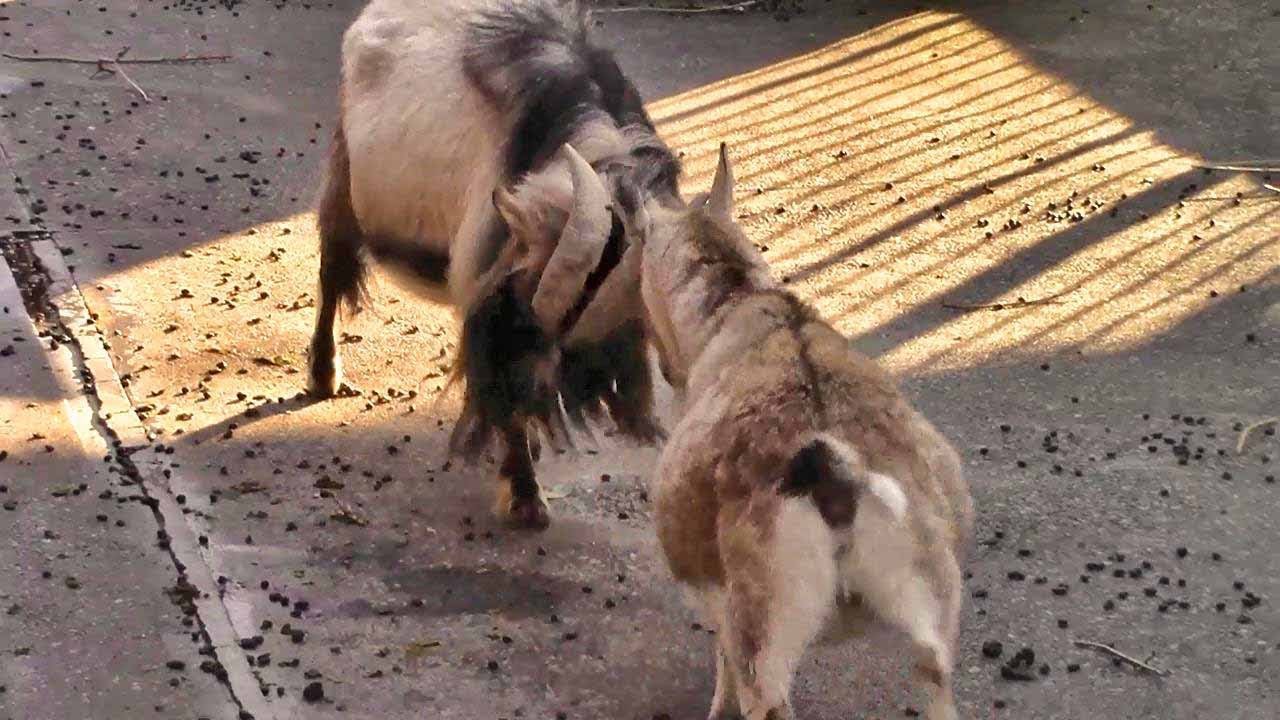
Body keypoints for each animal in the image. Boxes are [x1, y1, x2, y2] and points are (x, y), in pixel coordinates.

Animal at [310, 0, 680, 528]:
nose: (591, 383)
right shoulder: (488, 280)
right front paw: (525, 495)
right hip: (344, 185)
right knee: (332, 272)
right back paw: (324, 373)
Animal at [625, 146, 974, 720]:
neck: (737, 302)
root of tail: (841, 484)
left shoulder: (719, 598)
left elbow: (720, 654)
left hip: (766, 624)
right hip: (933, 611)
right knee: (935, 679)